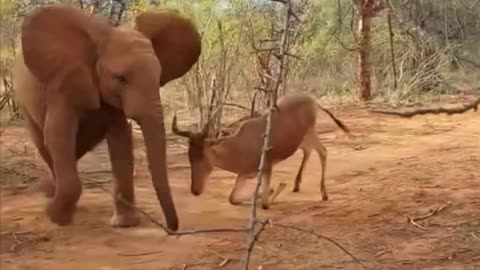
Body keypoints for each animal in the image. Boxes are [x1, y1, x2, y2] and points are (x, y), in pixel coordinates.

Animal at [172, 93, 348, 209]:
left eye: (203, 155)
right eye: (189, 156)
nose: (195, 190)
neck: (240, 144)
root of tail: (312, 100)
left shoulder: (266, 168)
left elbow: (264, 203)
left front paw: (277, 186)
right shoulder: (243, 175)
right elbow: (232, 199)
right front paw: (274, 188)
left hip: (310, 132)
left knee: (323, 151)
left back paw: (324, 194)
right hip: (301, 139)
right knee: (308, 150)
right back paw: (297, 185)